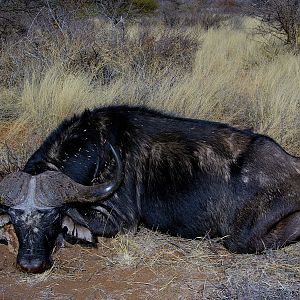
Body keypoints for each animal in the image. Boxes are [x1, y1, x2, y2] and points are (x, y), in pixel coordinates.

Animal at [0, 106, 300, 274]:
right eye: (15, 219)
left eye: (51, 217)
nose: (30, 263)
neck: (96, 147)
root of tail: (292, 163)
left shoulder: (122, 221)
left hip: (240, 237)